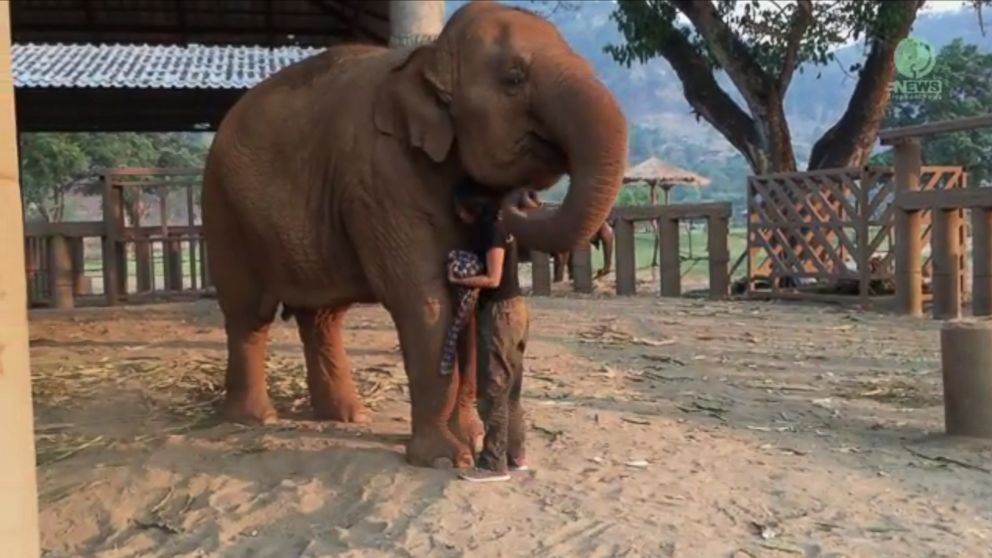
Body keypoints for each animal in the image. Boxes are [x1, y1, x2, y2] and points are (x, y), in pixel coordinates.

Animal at [201, 1, 628, 472]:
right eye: (514, 78)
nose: (523, 198)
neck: (429, 57)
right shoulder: (380, 179)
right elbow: (426, 303)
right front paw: (445, 459)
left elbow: (470, 307)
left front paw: (470, 437)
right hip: (223, 209)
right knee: (248, 313)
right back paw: (254, 420)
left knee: (323, 317)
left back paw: (348, 416)